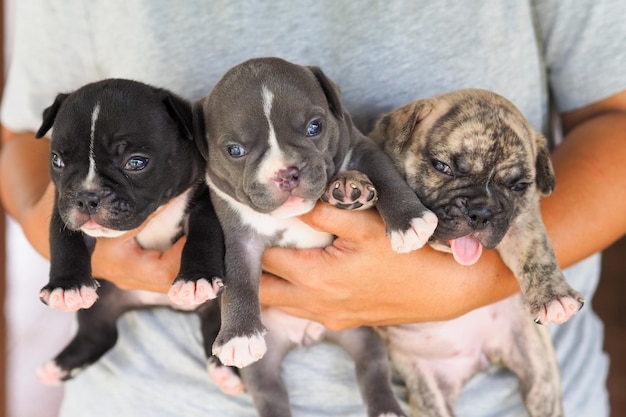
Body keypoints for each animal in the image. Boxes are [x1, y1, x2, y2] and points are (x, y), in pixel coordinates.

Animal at [34, 78, 224, 384]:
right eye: (57, 161)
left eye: (136, 162)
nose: (86, 197)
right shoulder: (62, 209)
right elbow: (64, 242)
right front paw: (66, 286)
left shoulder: (207, 201)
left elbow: (204, 233)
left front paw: (196, 278)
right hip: (102, 303)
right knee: (98, 334)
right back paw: (57, 367)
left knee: (217, 328)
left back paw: (225, 367)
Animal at [184, 57, 438, 416]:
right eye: (235, 150)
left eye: (315, 127)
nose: (286, 173)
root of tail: (307, 334)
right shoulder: (239, 235)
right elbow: (239, 279)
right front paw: (239, 335)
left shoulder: (361, 147)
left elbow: (386, 176)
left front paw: (409, 220)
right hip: (266, 362)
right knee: (269, 391)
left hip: (361, 335)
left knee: (372, 367)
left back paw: (387, 409)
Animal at [368, 88, 584, 416]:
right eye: (442, 167)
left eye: (518, 185)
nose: (482, 212)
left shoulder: (522, 222)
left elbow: (537, 253)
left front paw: (554, 298)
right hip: (427, 390)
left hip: (537, 367)